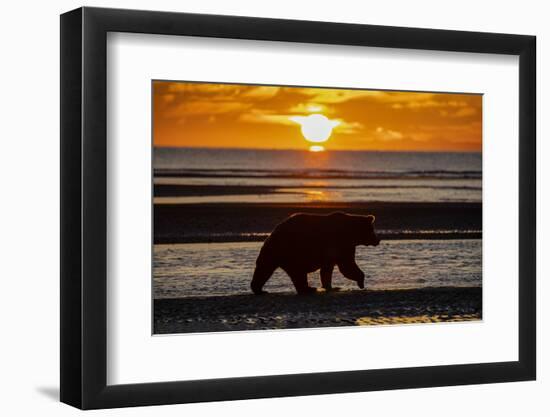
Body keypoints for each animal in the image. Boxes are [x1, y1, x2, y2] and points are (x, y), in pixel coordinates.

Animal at [252, 213, 382, 294]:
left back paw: (259, 289)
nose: (378, 240)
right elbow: (347, 265)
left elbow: (327, 270)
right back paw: (308, 289)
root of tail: (273, 233)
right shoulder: (341, 244)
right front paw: (361, 281)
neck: (352, 233)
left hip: (274, 252)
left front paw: (331, 286)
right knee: (297, 272)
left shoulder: (332, 252)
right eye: (372, 230)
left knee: (264, 269)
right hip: (293, 249)